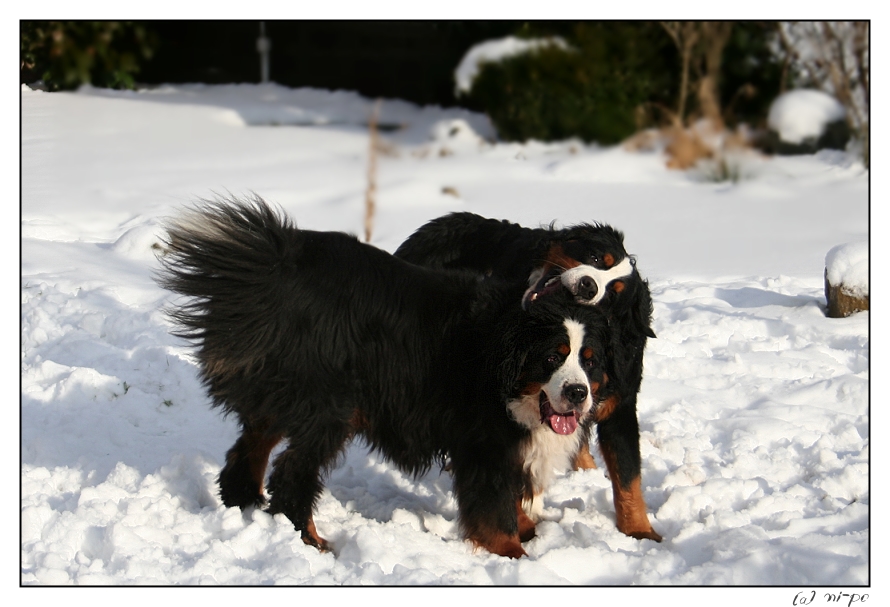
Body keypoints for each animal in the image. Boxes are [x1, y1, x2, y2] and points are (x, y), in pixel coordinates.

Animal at [156, 197, 612, 560]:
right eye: (552, 356)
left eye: (589, 362)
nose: (577, 393)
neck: (505, 348)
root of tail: (273, 270)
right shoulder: (484, 439)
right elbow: (494, 508)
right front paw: (514, 555)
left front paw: (530, 531)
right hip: (329, 402)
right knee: (292, 472)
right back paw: (310, 540)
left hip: (283, 386)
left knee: (250, 447)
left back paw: (245, 504)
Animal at [396, 213, 660, 540]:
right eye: (596, 258)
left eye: (613, 293)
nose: (588, 286)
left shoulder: (619, 404)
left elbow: (628, 476)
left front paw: (641, 532)